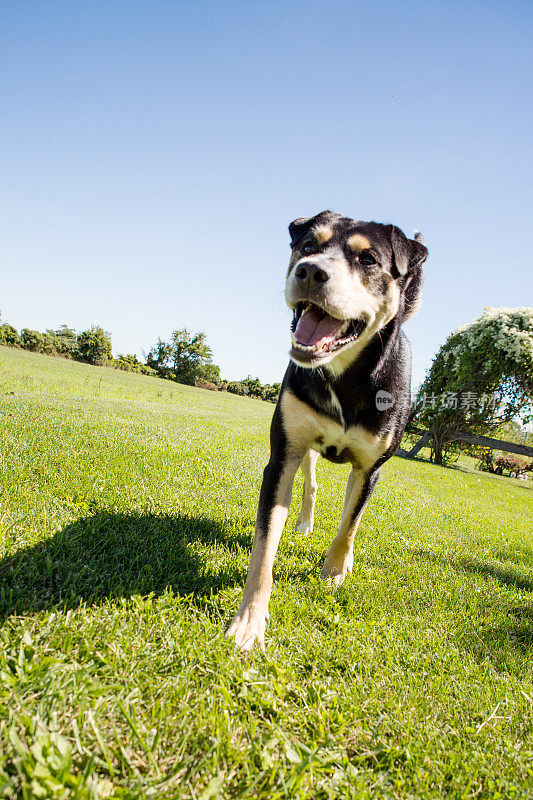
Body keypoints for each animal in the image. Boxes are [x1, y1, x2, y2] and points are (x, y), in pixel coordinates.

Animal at [225, 211, 428, 648]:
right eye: (307, 246)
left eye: (368, 259)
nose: (309, 271)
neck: (345, 376)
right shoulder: (283, 456)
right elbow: (264, 546)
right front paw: (249, 621)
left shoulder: (371, 467)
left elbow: (350, 522)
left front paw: (335, 569)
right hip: (305, 448)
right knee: (311, 484)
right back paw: (303, 523)